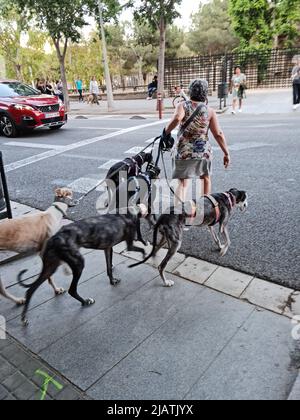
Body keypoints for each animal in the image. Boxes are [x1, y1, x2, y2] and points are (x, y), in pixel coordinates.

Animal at [18, 207, 147, 324]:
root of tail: (54, 238)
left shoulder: (107, 248)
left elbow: (109, 268)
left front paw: (112, 281)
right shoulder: (129, 245)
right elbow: (141, 250)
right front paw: (144, 257)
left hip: (51, 267)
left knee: (30, 289)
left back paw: (24, 317)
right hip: (78, 263)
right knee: (72, 290)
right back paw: (85, 301)